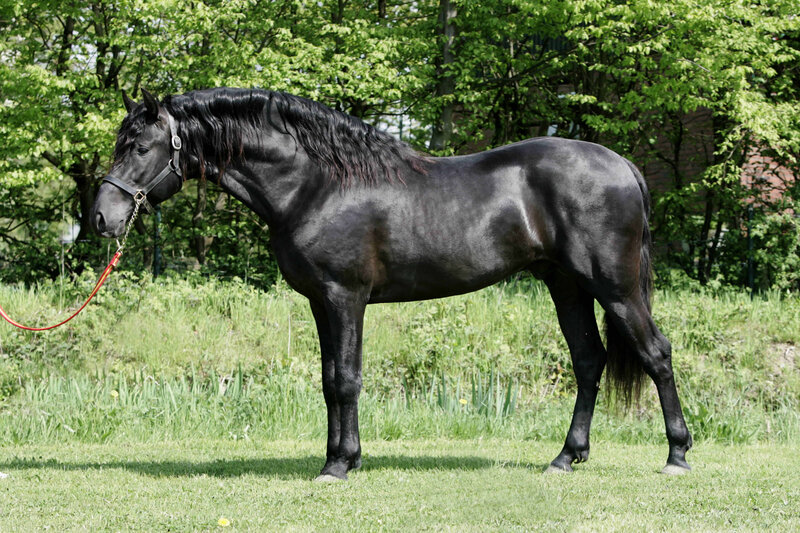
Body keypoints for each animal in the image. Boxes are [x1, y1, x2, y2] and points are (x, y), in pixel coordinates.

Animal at [90, 87, 692, 480]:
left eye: (139, 147)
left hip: (615, 288)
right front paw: (342, 457)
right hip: (567, 286)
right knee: (589, 361)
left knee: (656, 354)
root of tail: (621, 165)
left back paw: (677, 456)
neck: (317, 184)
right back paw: (567, 457)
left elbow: (346, 380)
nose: (100, 217)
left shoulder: (345, 298)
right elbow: (330, 380)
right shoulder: (321, 303)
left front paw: (338, 466)